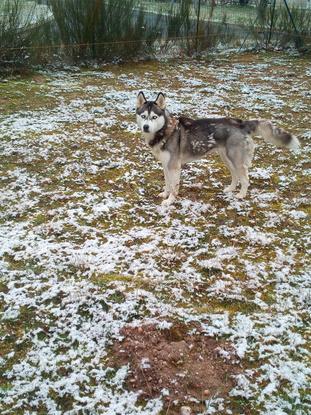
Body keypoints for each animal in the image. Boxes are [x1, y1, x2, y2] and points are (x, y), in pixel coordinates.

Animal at [136, 92, 300, 206]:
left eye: (154, 117)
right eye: (143, 116)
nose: (146, 127)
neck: (164, 131)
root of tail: (241, 123)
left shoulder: (174, 166)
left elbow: (174, 186)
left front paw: (170, 201)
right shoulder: (165, 165)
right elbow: (167, 183)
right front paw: (165, 194)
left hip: (236, 160)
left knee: (245, 179)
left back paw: (241, 195)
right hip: (227, 158)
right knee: (235, 176)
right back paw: (230, 190)